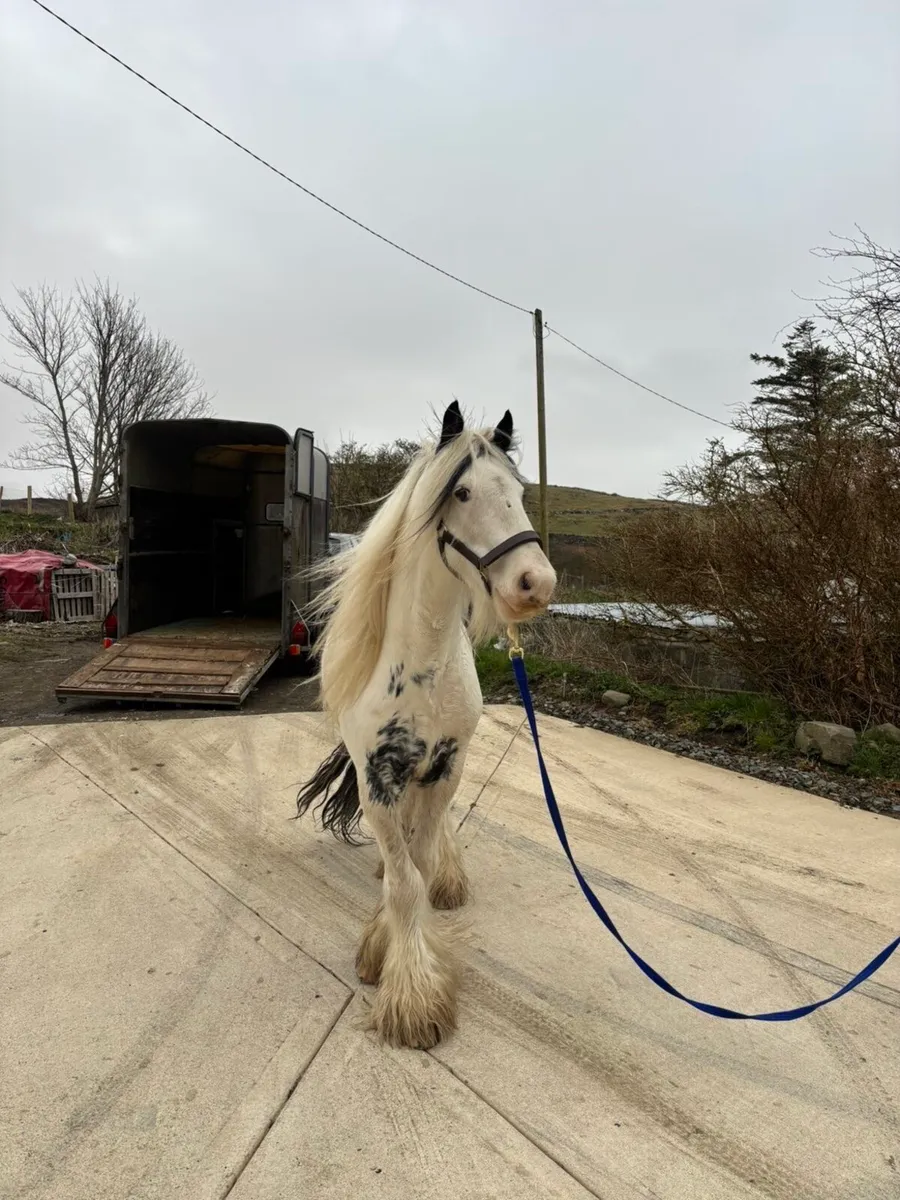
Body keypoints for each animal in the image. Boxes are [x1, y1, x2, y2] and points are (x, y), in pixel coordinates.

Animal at [296, 401, 557, 1048]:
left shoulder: (447, 764)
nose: (535, 583)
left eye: (519, 491)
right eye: (460, 492)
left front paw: (397, 955)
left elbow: (419, 861)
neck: (423, 668)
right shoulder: (377, 777)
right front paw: (409, 992)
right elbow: (404, 878)